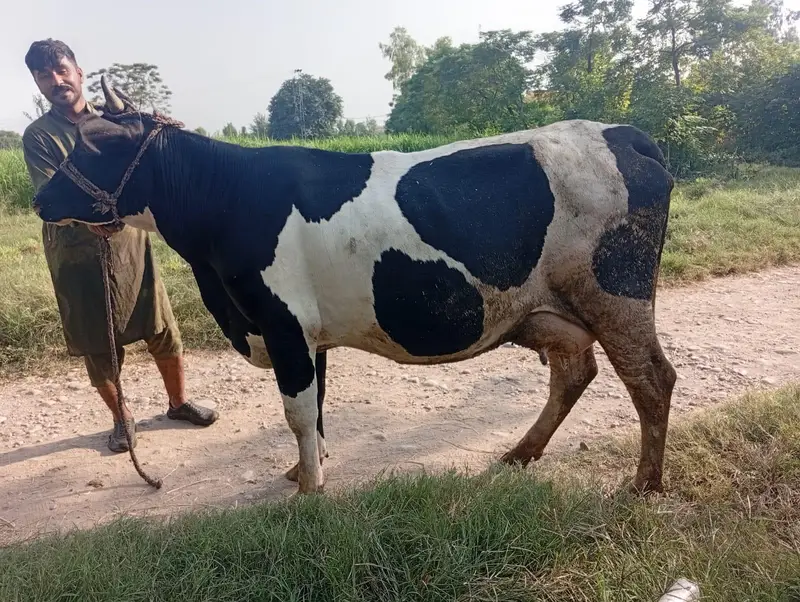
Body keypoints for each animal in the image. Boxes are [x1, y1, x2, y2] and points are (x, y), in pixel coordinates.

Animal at [32, 80, 677, 496]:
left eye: (98, 144)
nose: (40, 198)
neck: (227, 200)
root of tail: (627, 134)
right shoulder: (307, 332)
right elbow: (316, 409)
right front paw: (305, 471)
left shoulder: (283, 323)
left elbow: (297, 411)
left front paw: (309, 494)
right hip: (551, 309)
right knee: (575, 372)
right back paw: (520, 454)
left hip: (615, 294)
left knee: (650, 379)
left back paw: (645, 485)